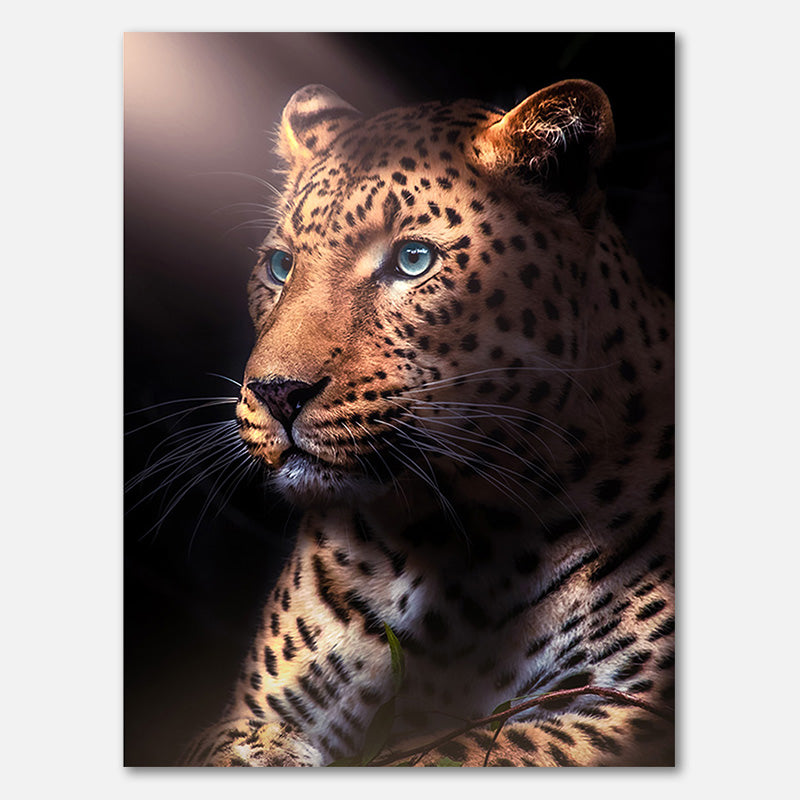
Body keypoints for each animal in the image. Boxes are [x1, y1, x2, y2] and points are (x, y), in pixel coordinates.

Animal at [181, 79, 674, 767]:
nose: (277, 393)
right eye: (280, 267)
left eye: (413, 260)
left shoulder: (620, 709)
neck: (455, 538)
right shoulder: (252, 710)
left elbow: (472, 750)